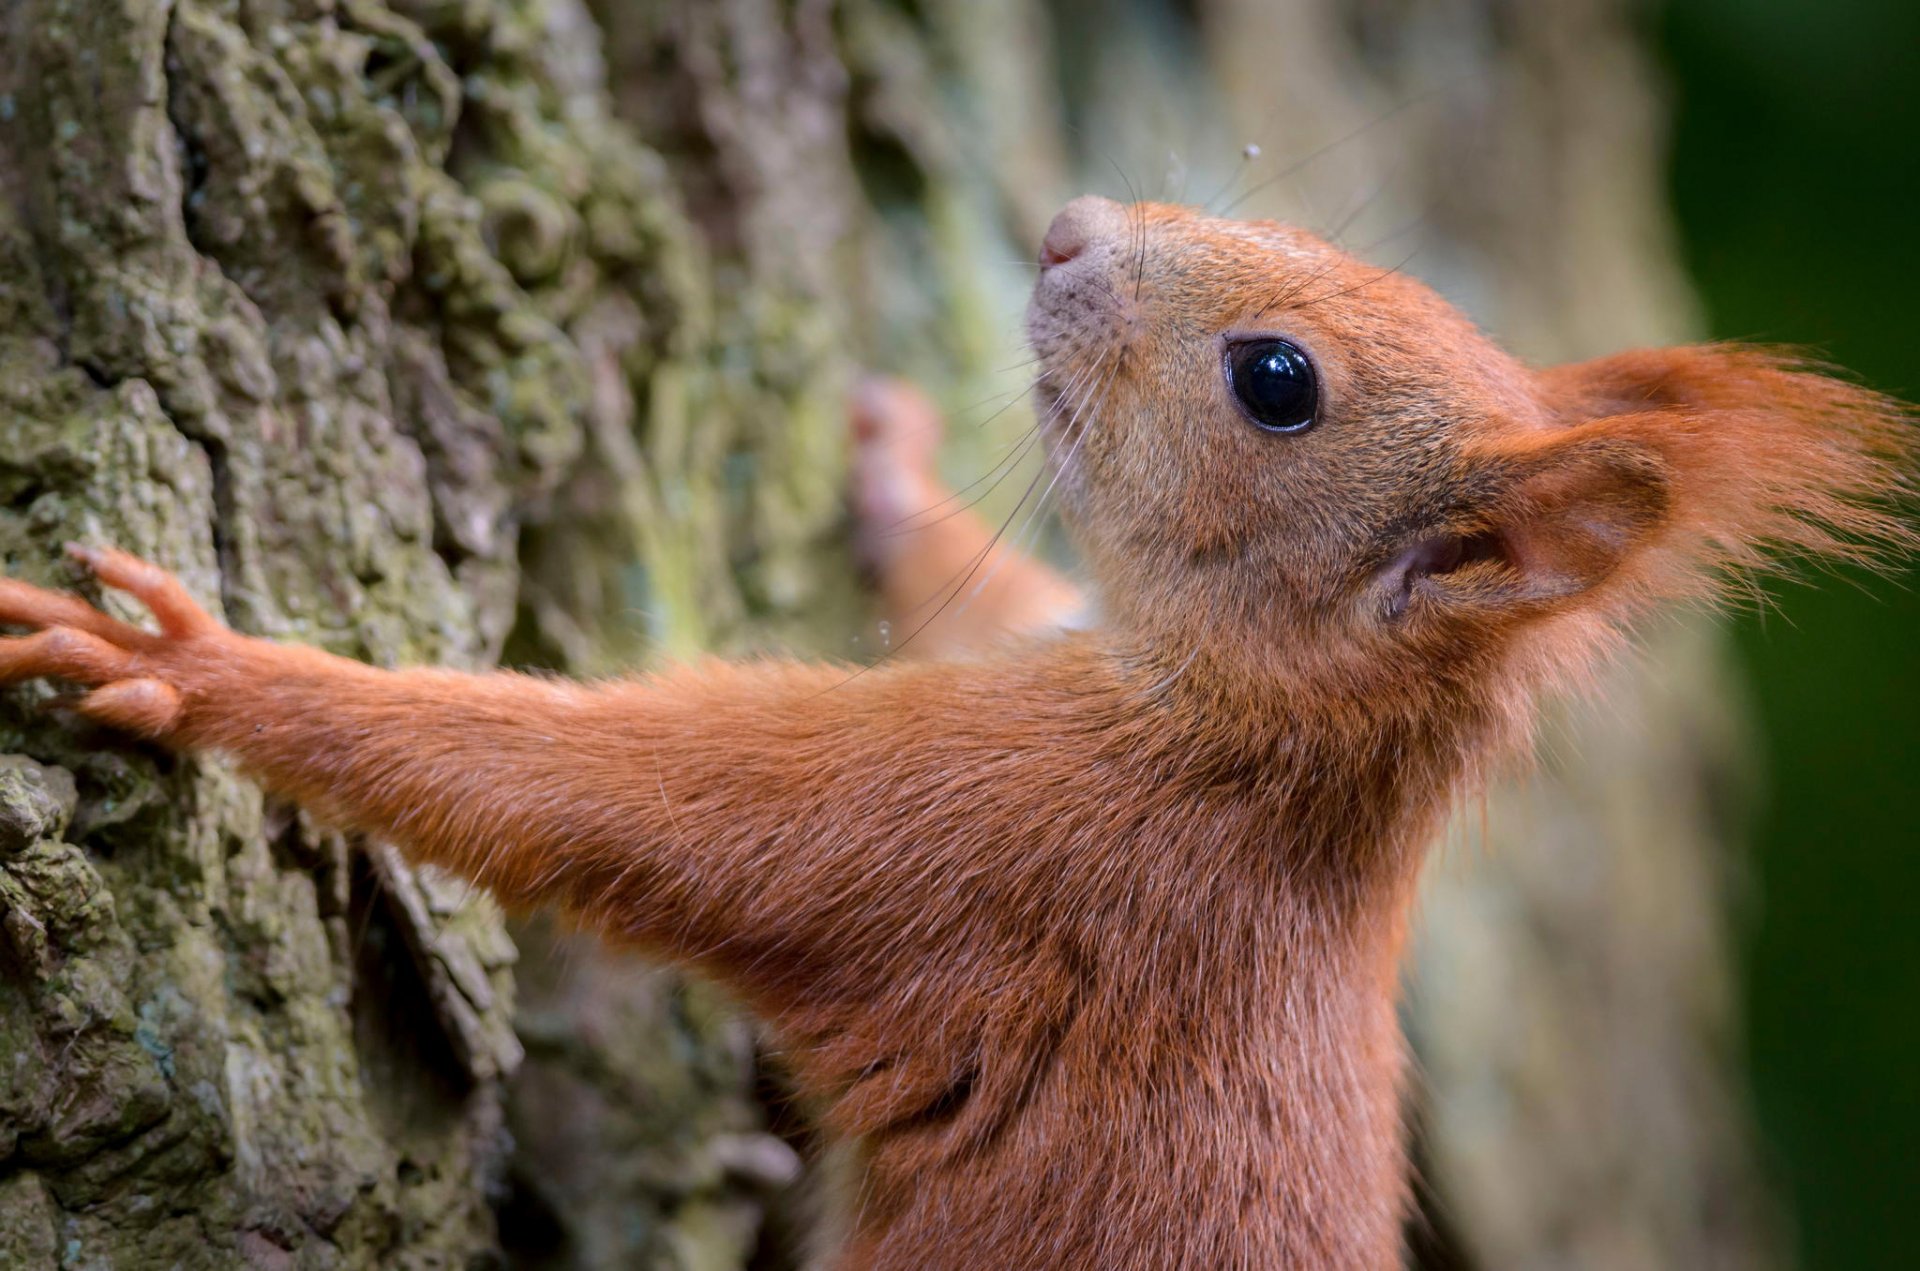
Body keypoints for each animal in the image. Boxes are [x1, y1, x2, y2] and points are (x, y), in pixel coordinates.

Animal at [0, 195, 1910, 1268]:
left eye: (1276, 380)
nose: (1063, 225)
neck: (1250, 728)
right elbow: (988, 583)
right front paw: (890, 468)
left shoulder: (993, 829)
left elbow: (617, 798)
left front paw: (201, 664)